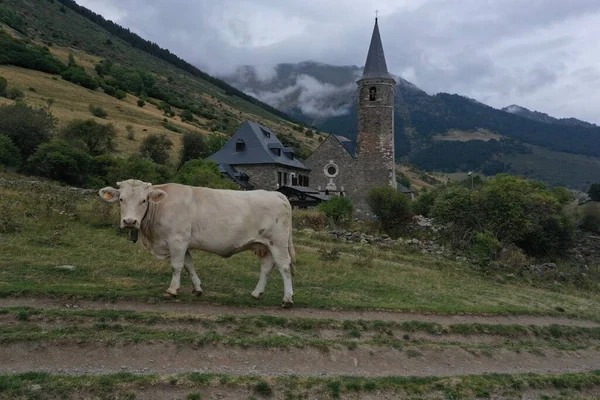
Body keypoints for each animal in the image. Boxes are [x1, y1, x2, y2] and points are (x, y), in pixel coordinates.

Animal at [99, 180, 298, 308]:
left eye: (143, 200)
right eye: (121, 199)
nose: (130, 221)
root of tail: (275, 193)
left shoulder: (177, 241)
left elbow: (176, 266)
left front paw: (172, 290)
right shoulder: (184, 244)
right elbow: (189, 266)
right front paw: (197, 288)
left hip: (278, 242)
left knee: (284, 266)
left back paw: (287, 299)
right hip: (264, 245)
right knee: (267, 267)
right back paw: (256, 293)